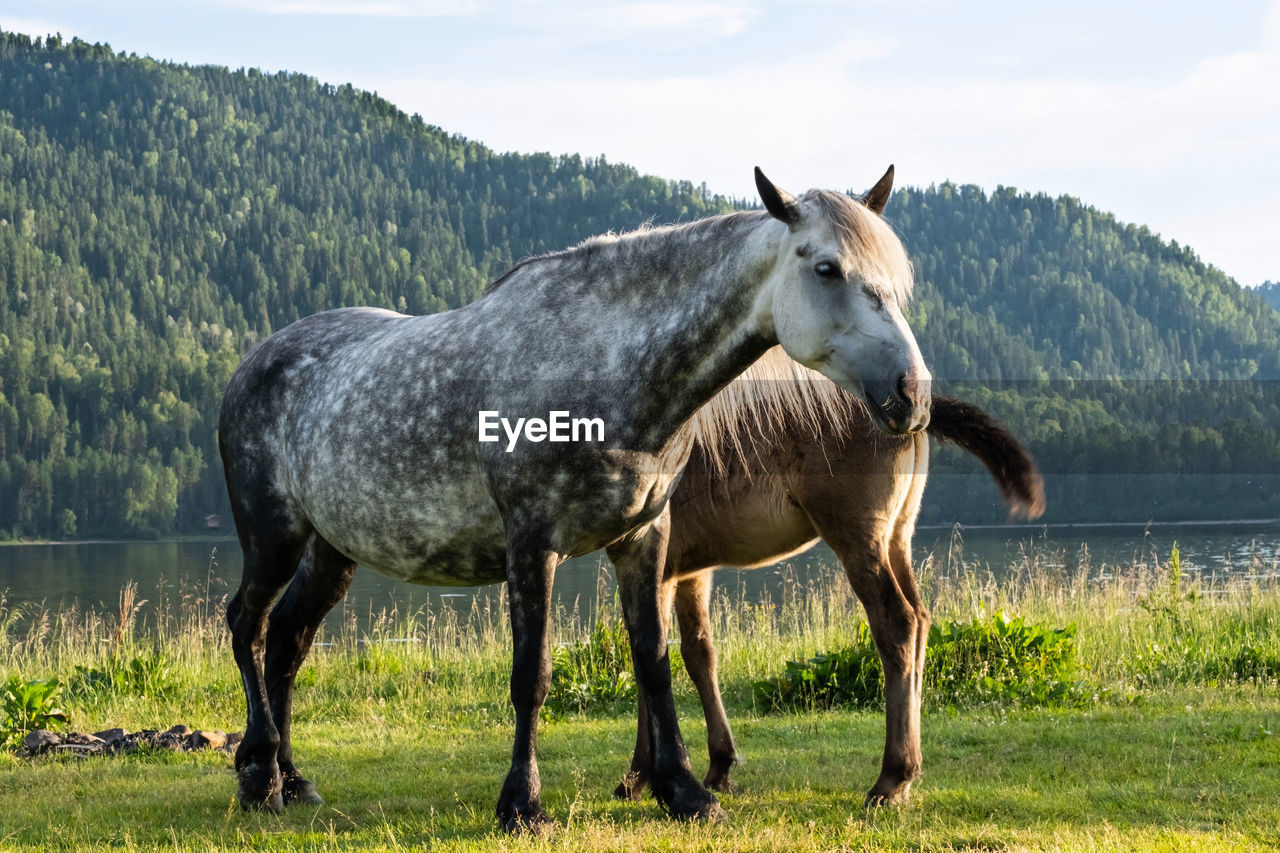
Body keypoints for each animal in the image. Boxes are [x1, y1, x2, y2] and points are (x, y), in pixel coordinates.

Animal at [220, 162, 931, 824]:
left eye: (896, 282)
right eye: (827, 268)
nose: (912, 394)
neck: (602, 368)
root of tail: (254, 361)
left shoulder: (646, 540)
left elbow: (653, 660)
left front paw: (682, 790)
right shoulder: (533, 545)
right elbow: (531, 676)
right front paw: (522, 803)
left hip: (331, 550)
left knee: (286, 642)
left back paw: (293, 780)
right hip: (273, 536)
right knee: (247, 624)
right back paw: (258, 772)